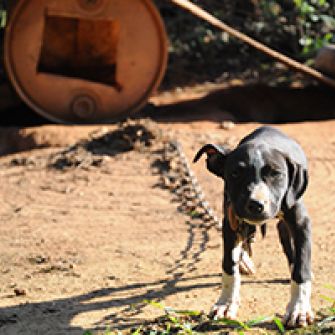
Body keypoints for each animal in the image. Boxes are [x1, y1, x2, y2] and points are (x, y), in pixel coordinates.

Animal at [196, 126, 314, 328]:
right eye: (235, 173)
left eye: (276, 174)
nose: (256, 205)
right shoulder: (231, 224)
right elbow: (228, 266)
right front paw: (226, 303)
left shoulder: (301, 223)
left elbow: (301, 268)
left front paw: (298, 308)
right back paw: (244, 260)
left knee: (288, 244)